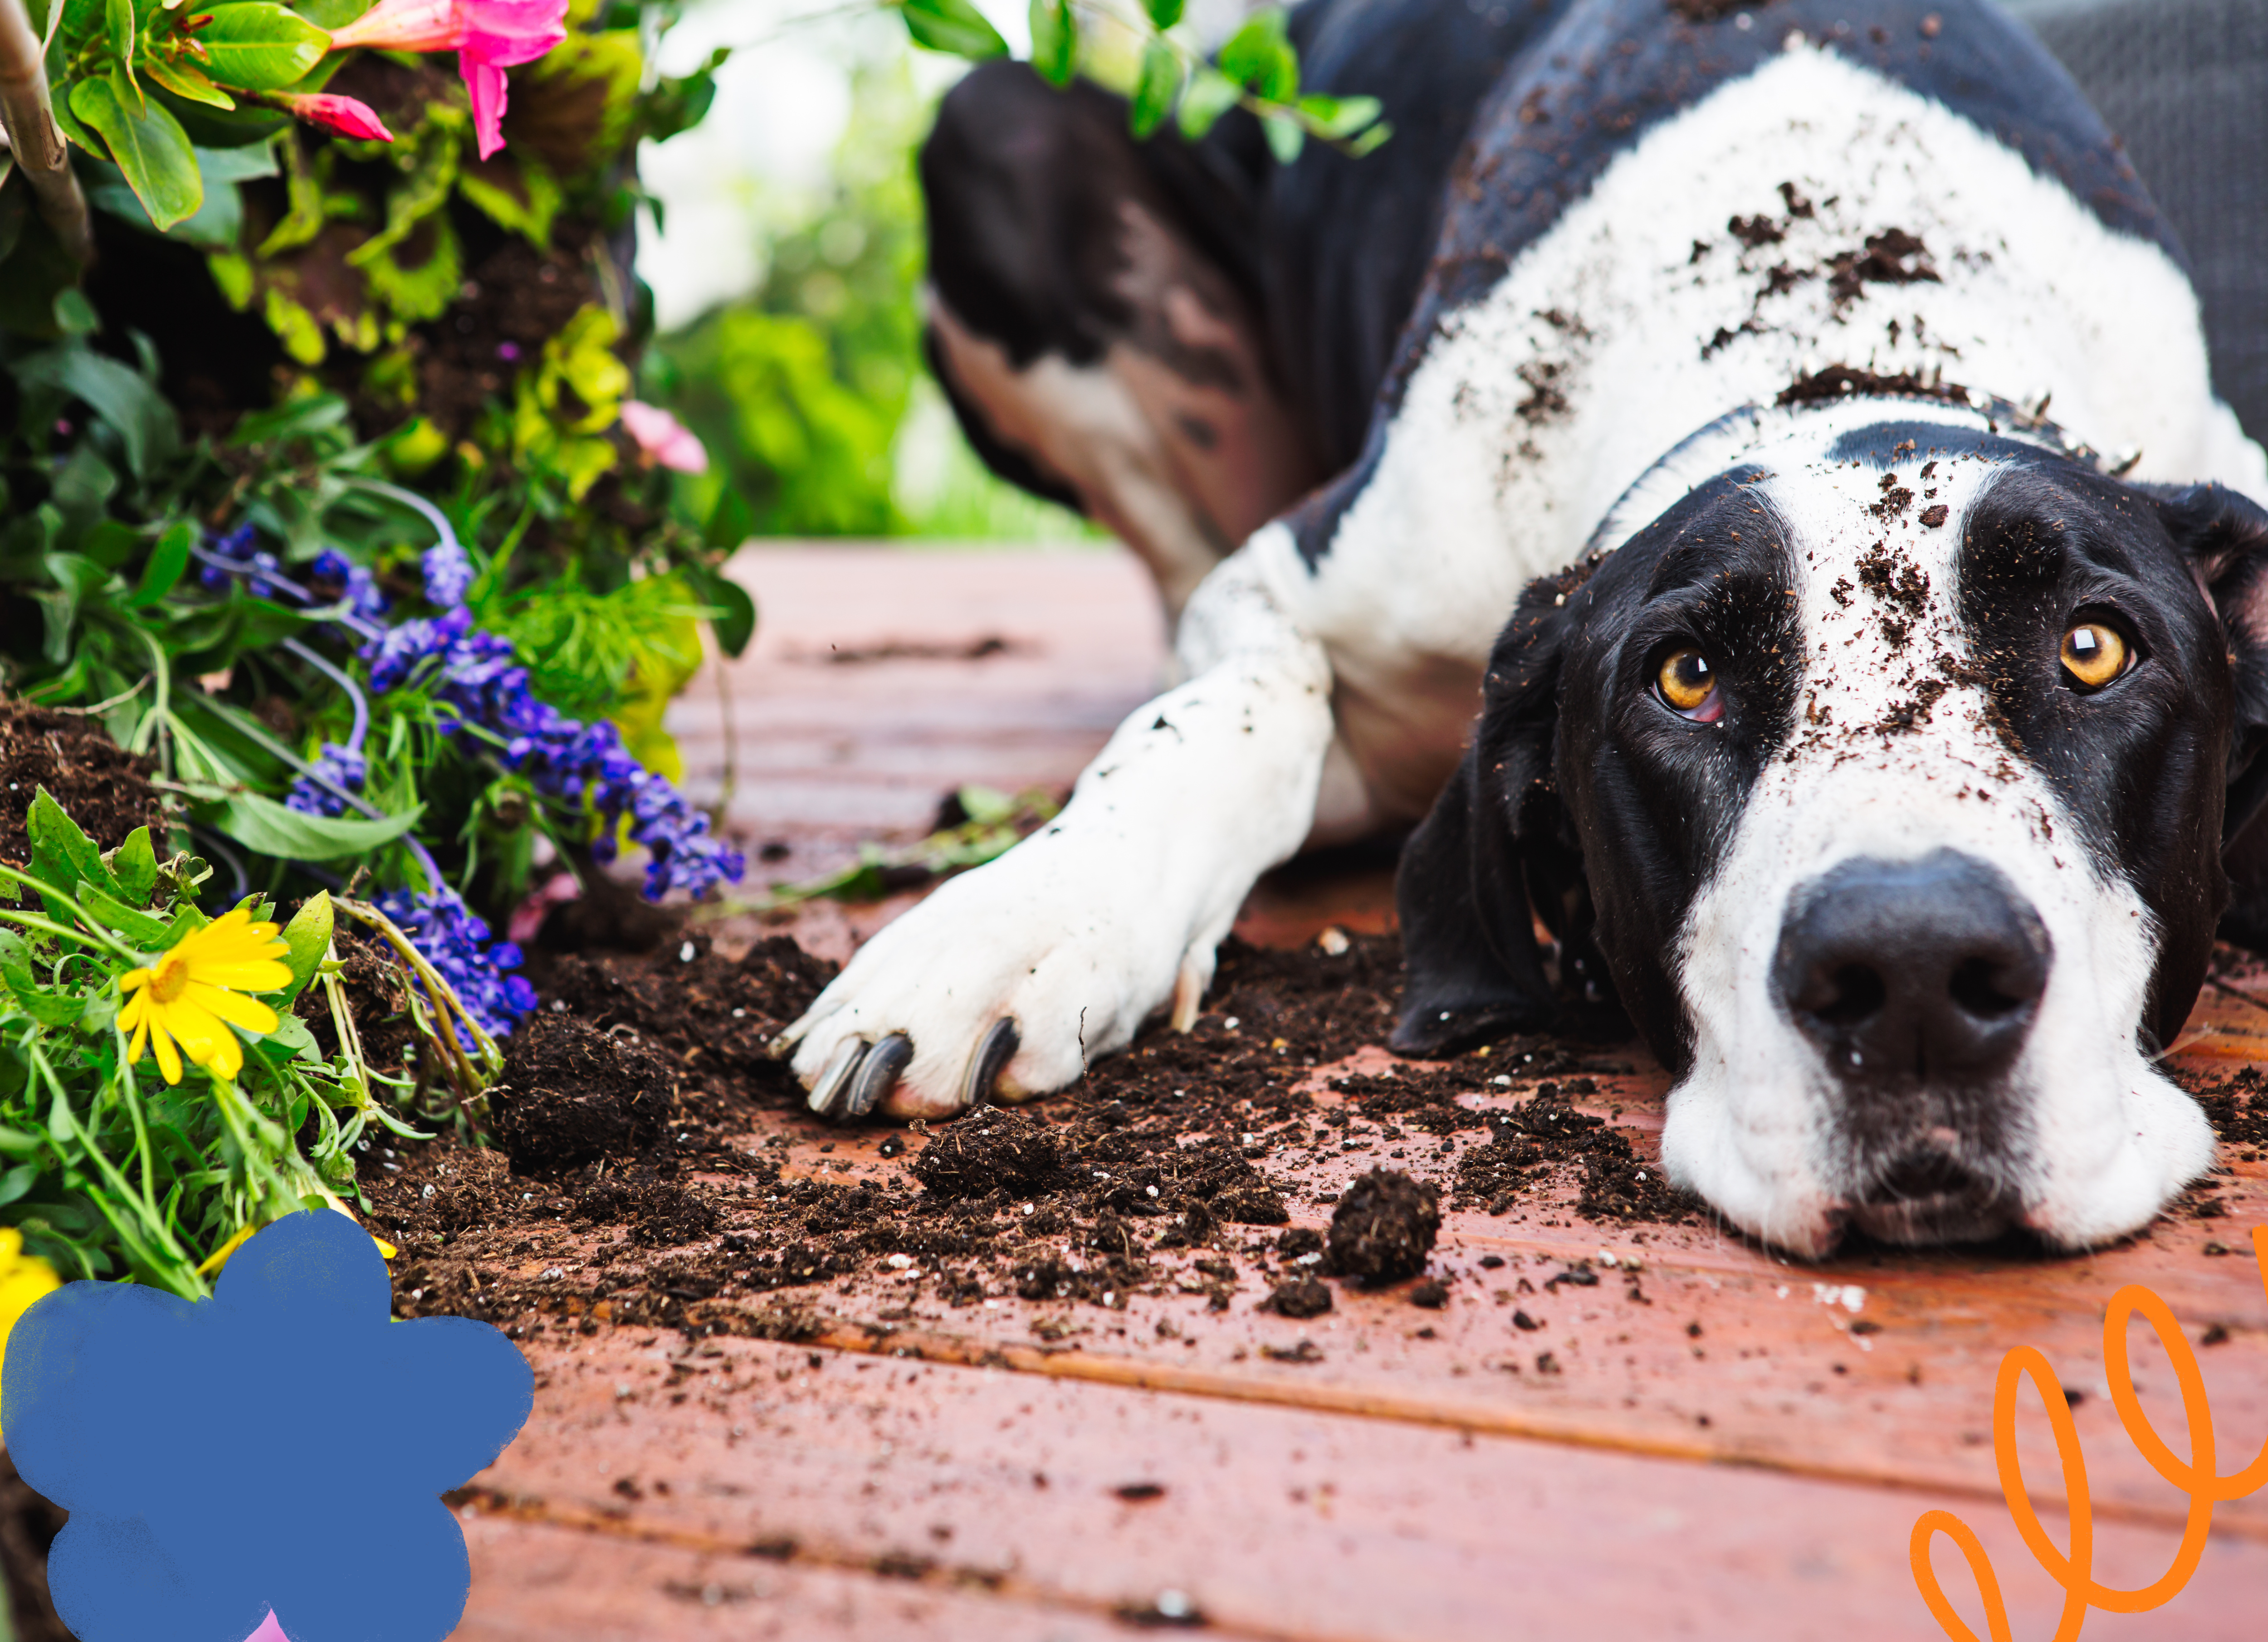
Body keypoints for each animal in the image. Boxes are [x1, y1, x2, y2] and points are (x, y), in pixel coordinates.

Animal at [776, 0, 2268, 1261]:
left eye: (2093, 648)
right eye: (1684, 678)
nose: (1910, 973)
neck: (1840, 327)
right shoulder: (1293, 586)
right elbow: (1224, 718)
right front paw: (1019, 922)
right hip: (996, 132)